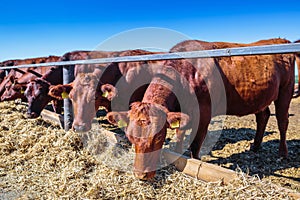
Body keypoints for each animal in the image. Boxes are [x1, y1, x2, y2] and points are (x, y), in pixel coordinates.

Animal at [106, 38, 294, 180]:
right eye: (131, 137)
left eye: (159, 136)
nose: (141, 175)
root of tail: (279, 40)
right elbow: (180, 134)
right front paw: (177, 152)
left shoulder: (204, 115)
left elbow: (196, 145)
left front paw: (195, 161)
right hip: (260, 98)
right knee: (263, 115)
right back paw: (255, 145)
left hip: (286, 91)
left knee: (282, 121)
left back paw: (283, 152)